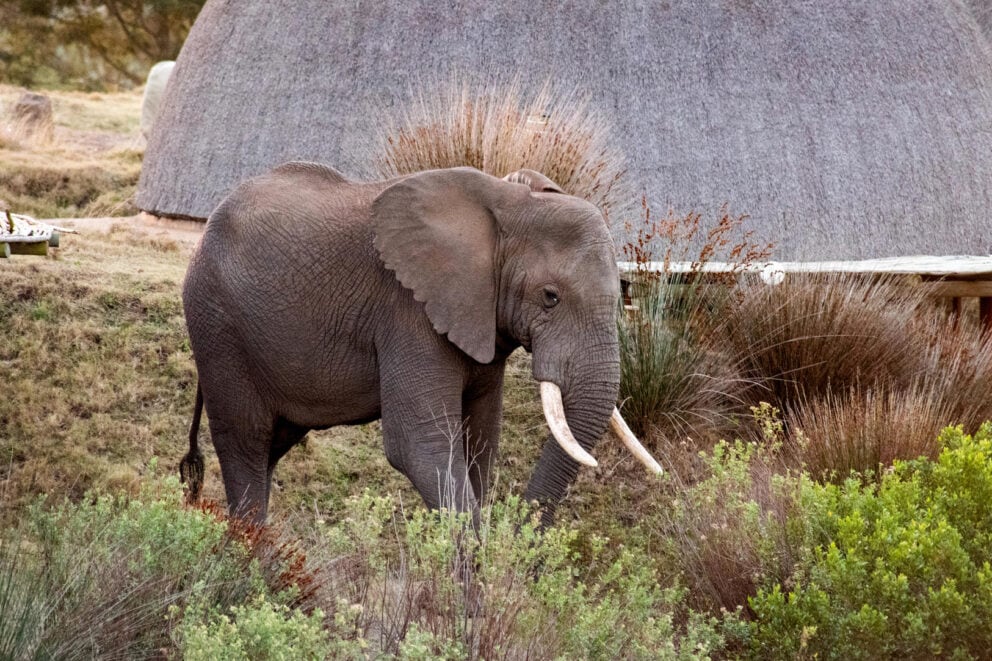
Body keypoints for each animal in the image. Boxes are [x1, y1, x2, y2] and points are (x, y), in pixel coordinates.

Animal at [179, 162, 661, 526]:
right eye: (550, 296)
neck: (506, 202)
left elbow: (481, 443)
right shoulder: (408, 312)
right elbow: (419, 447)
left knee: (270, 449)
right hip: (217, 326)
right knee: (246, 441)